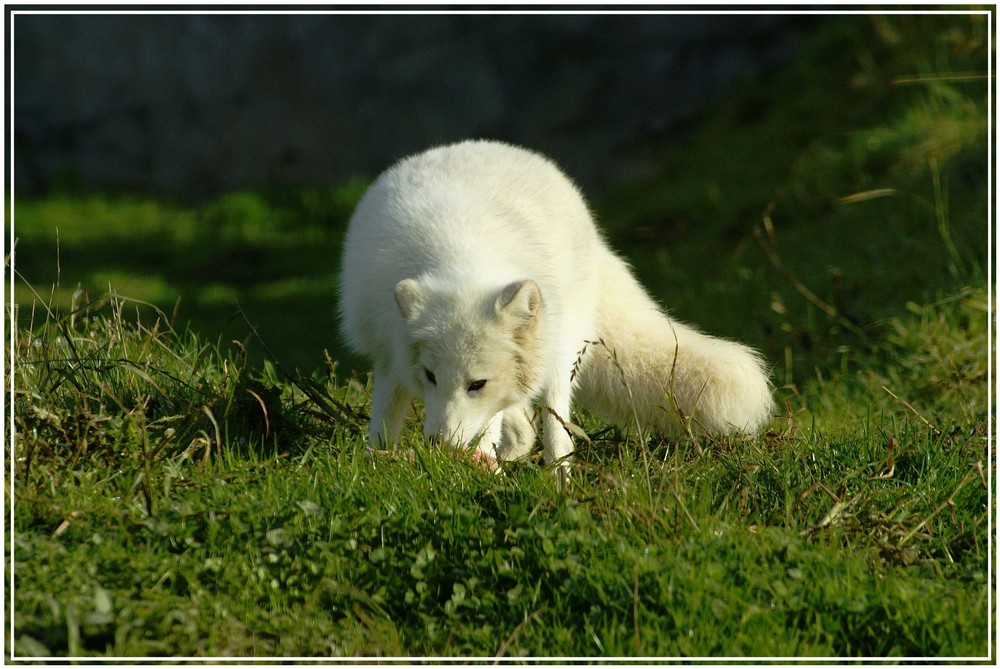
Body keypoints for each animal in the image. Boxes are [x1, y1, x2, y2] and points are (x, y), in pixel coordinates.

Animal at [340, 138, 768, 468]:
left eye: (476, 384)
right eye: (429, 377)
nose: (441, 445)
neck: (460, 254)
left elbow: (493, 425)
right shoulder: (390, 357)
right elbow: (383, 423)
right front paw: (377, 463)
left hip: (561, 352)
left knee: (552, 426)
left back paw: (558, 479)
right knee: (523, 423)